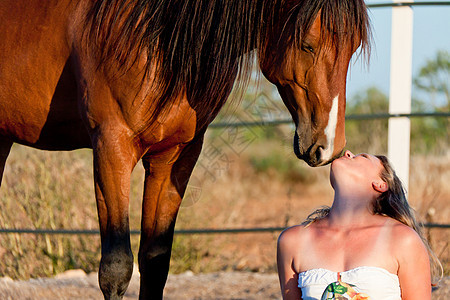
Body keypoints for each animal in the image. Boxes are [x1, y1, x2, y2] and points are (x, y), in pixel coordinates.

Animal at [0, 1, 370, 298]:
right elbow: (116, 267)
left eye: (353, 48)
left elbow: (155, 262)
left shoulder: (174, 157)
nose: (329, 146)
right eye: (308, 45)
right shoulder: (111, 147)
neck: (154, 38)